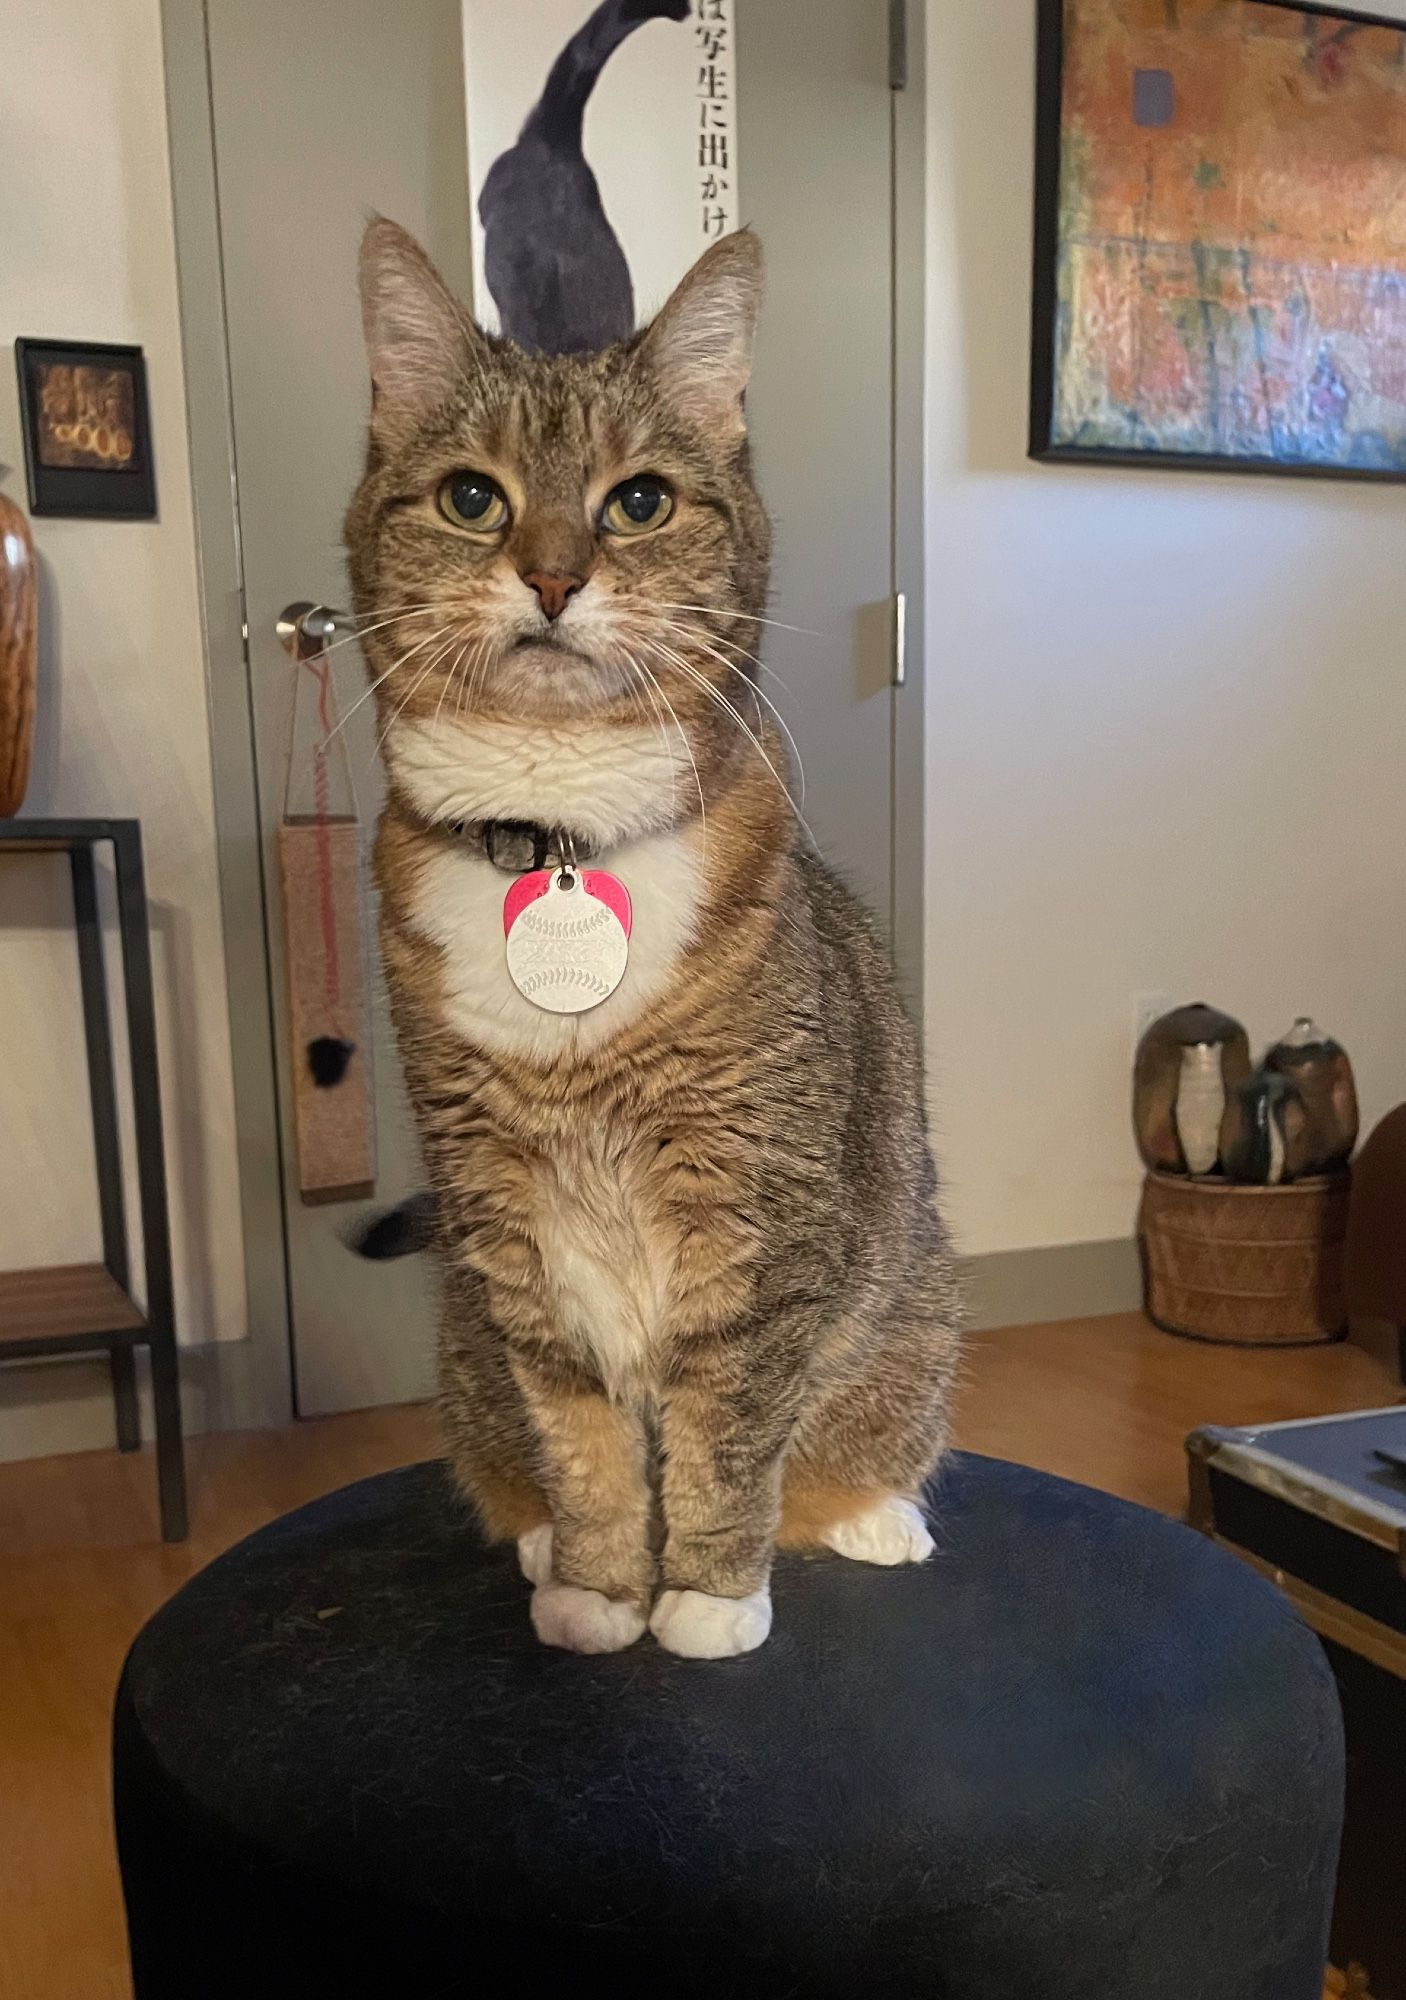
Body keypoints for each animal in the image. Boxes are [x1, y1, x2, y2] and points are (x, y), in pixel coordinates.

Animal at [350, 219, 968, 1656]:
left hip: (910, 1309)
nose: (552, 575)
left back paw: (878, 1518)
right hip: (463, 1338)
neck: (560, 835)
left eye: (638, 502)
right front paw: (596, 1584)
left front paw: (704, 1595)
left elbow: (727, 1433)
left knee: (845, 1450)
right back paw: (532, 1537)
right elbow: (580, 1436)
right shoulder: (505, 1222)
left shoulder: (756, 1217)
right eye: (472, 498)